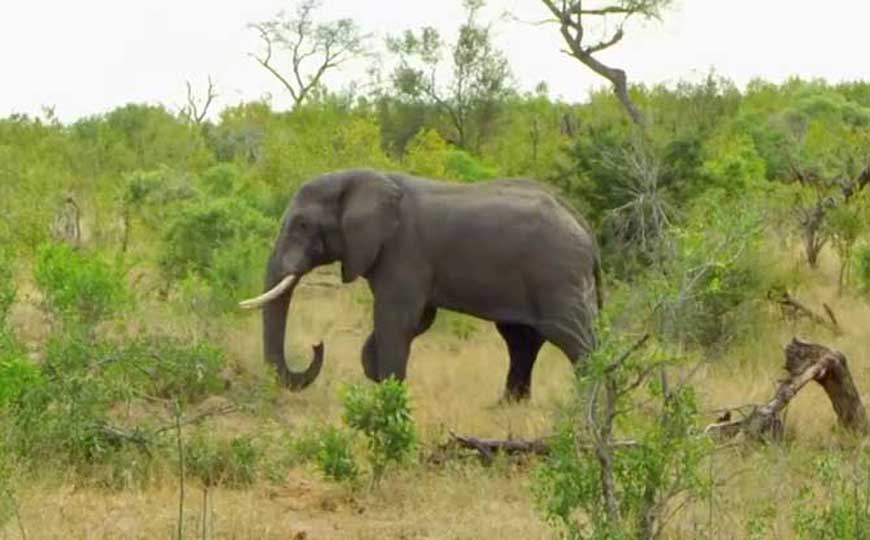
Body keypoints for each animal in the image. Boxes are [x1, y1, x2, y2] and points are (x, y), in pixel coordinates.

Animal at [239, 169, 602, 401]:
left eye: (302, 225)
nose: (317, 345)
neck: (363, 179)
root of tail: (583, 224)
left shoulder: (404, 252)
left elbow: (396, 320)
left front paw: (388, 399)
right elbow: (417, 321)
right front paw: (377, 372)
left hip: (557, 276)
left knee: (574, 341)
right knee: (521, 340)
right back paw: (507, 408)